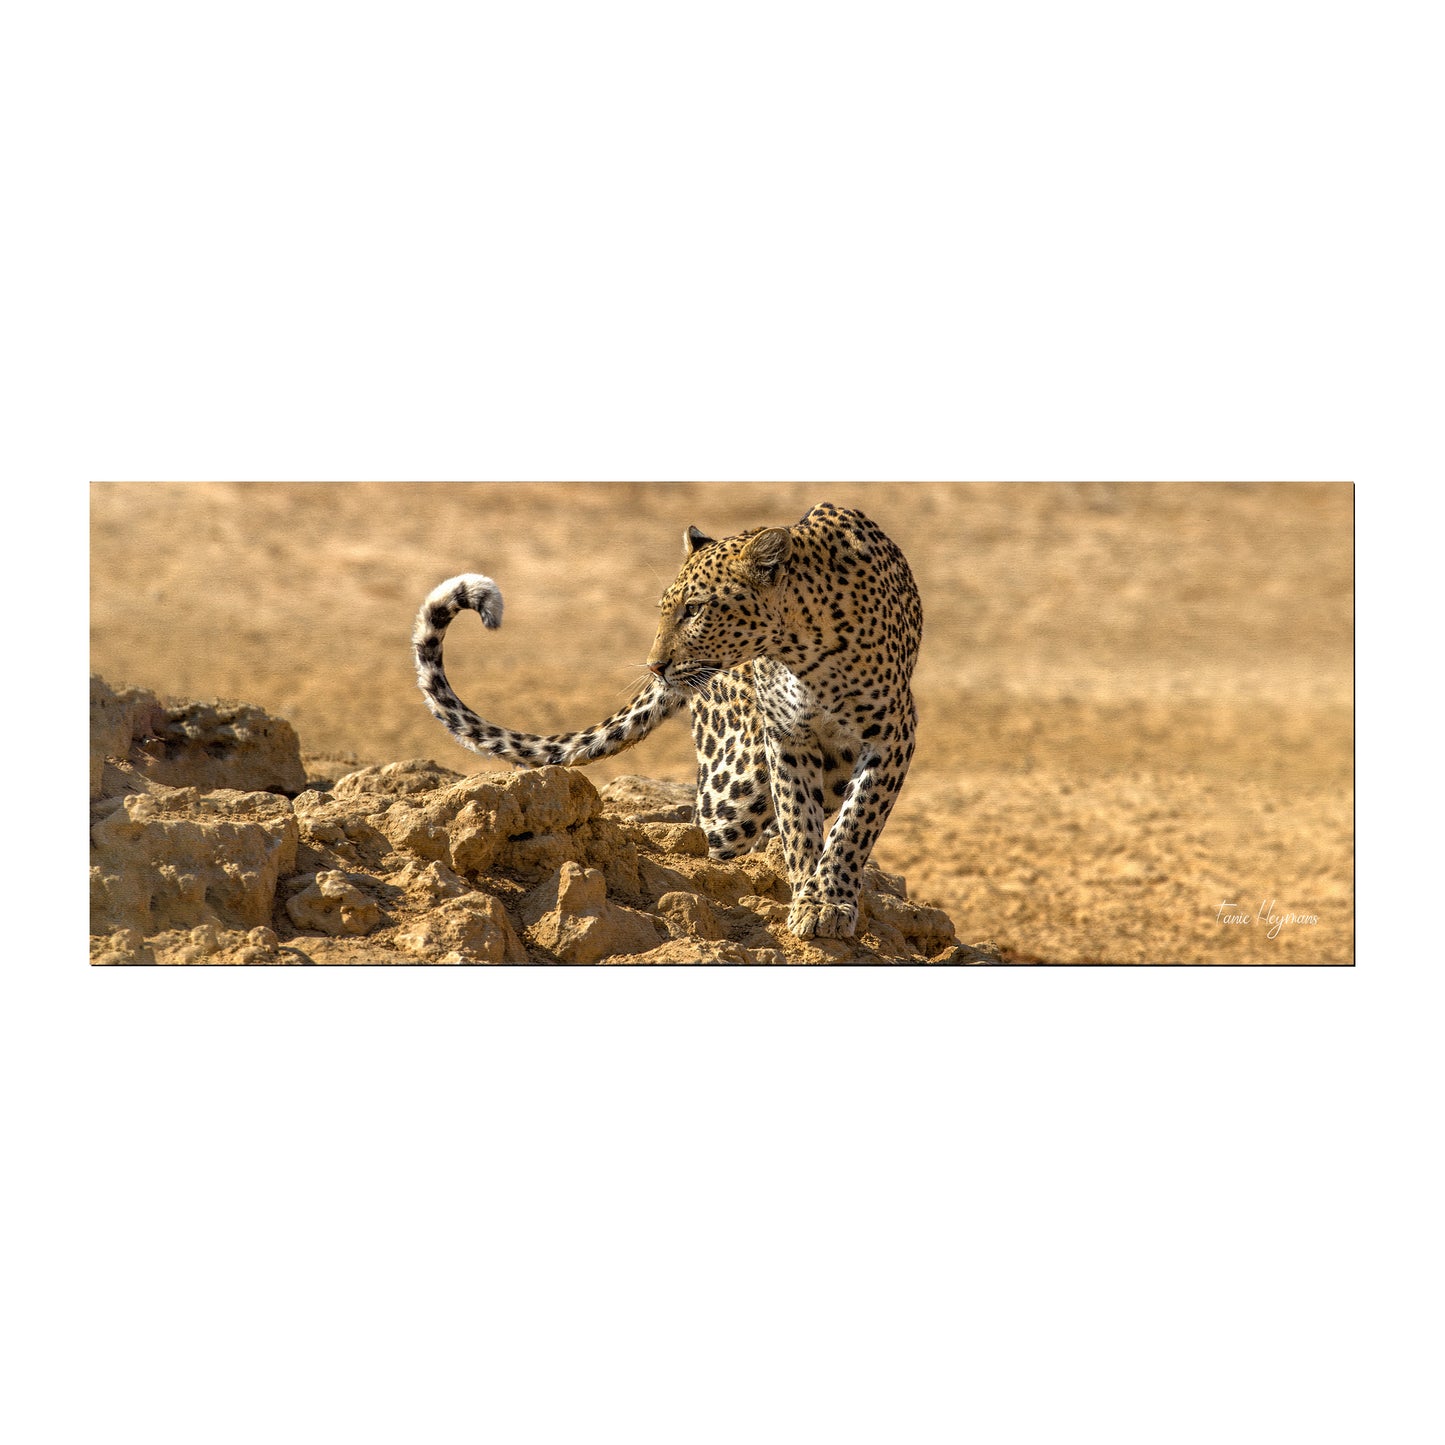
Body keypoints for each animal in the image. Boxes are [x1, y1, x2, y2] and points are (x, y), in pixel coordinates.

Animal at [412, 502, 923, 939]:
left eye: (694, 609)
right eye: (665, 609)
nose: (655, 665)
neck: (804, 652)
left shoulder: (892, 736)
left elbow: (855, 824)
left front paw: (829, 900)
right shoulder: (787, 737)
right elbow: (799, 821)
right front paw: (808, 897)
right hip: (733, 793)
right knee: (706, 831)